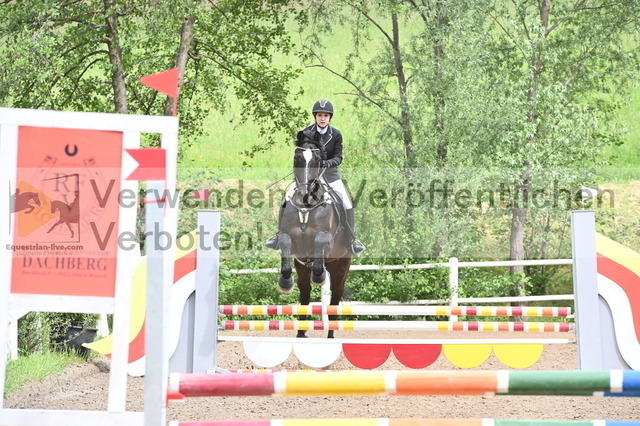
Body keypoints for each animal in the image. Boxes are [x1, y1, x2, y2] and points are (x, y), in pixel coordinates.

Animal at [276, 134, 352, 338]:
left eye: (317, 160)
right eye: (297, 158)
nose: (304, 193)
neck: (306, 207)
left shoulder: (327, 239)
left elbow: (319, 241)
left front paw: (319, 276)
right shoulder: (288, 238)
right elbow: (285, 242)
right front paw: (285, 283)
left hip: (341, 266)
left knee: (335, 298)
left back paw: (331, 335)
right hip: (302, 268)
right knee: (305, 293)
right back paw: (301, 333)